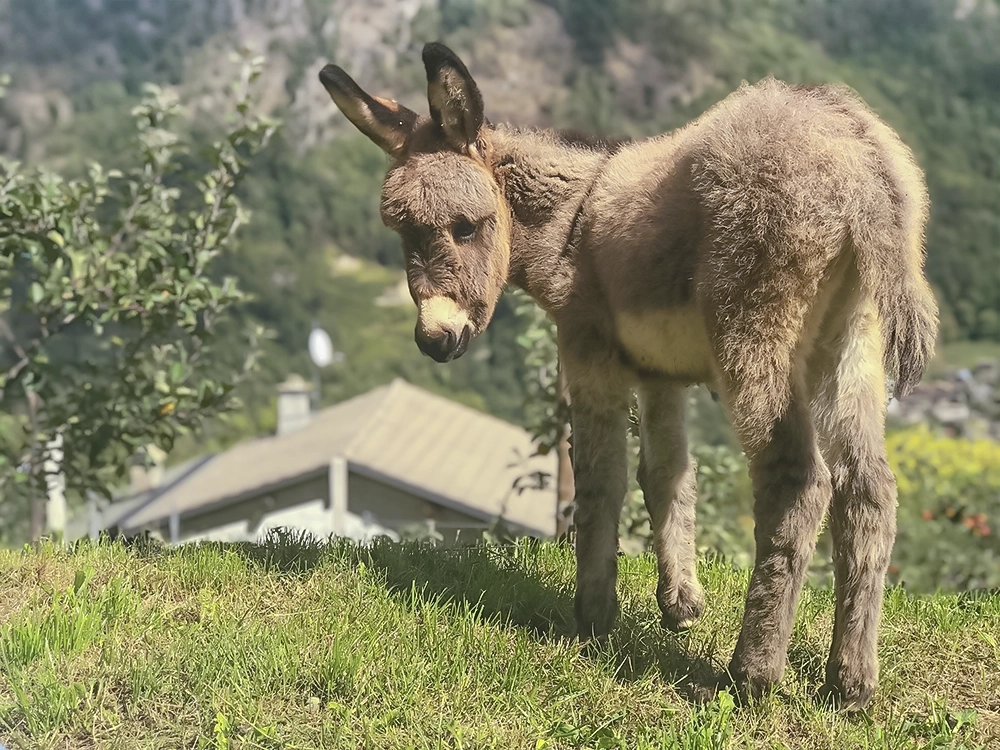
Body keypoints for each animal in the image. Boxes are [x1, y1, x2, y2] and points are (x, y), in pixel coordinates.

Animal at [320, 41, 936, 712]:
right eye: (401, 232)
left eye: (466, 226)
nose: (436, 341)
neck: (570, 223)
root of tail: (861, 153)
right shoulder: (661, 377)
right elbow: (668, 476)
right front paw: (681, 605)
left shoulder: (589, 354)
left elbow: (601, 481)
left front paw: (593, 614)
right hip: (851, 341)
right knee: (868, 491)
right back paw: (850, 684)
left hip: (755, 330)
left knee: (797, 481)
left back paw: (753, 674)